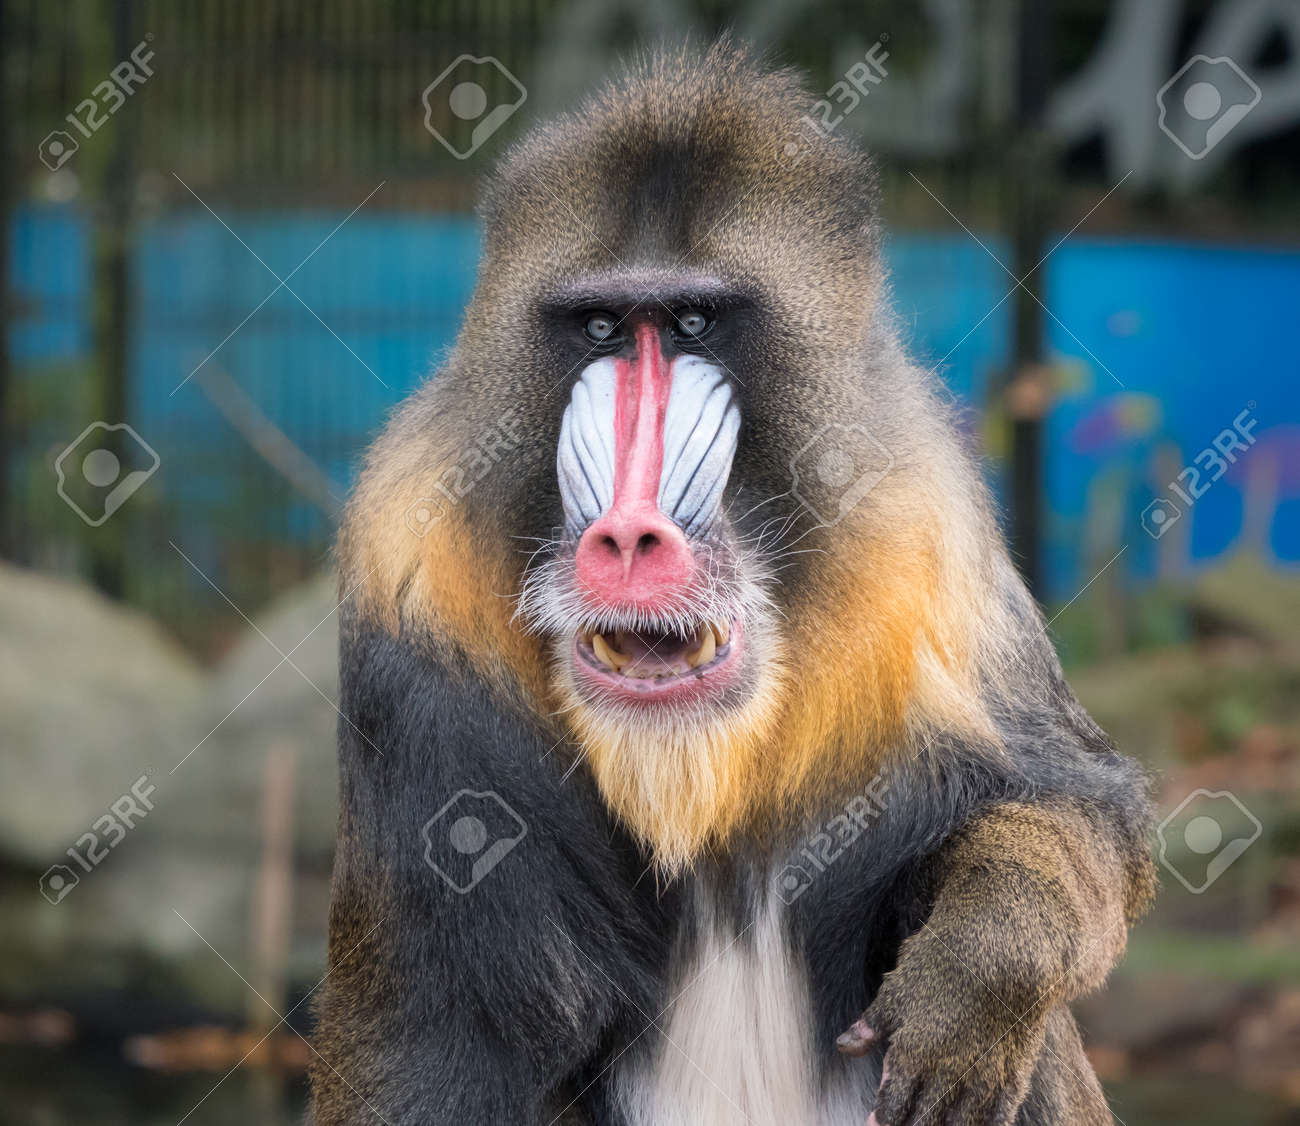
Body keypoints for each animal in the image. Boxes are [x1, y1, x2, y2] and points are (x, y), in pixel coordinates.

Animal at [310, 41, 1155, 1126]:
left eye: (694, 322)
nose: (630, 535)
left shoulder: (933, 557)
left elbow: (1081, 811)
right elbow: (433, 1040)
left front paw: (973, 983)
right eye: (599, 328)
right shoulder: (411, 589)